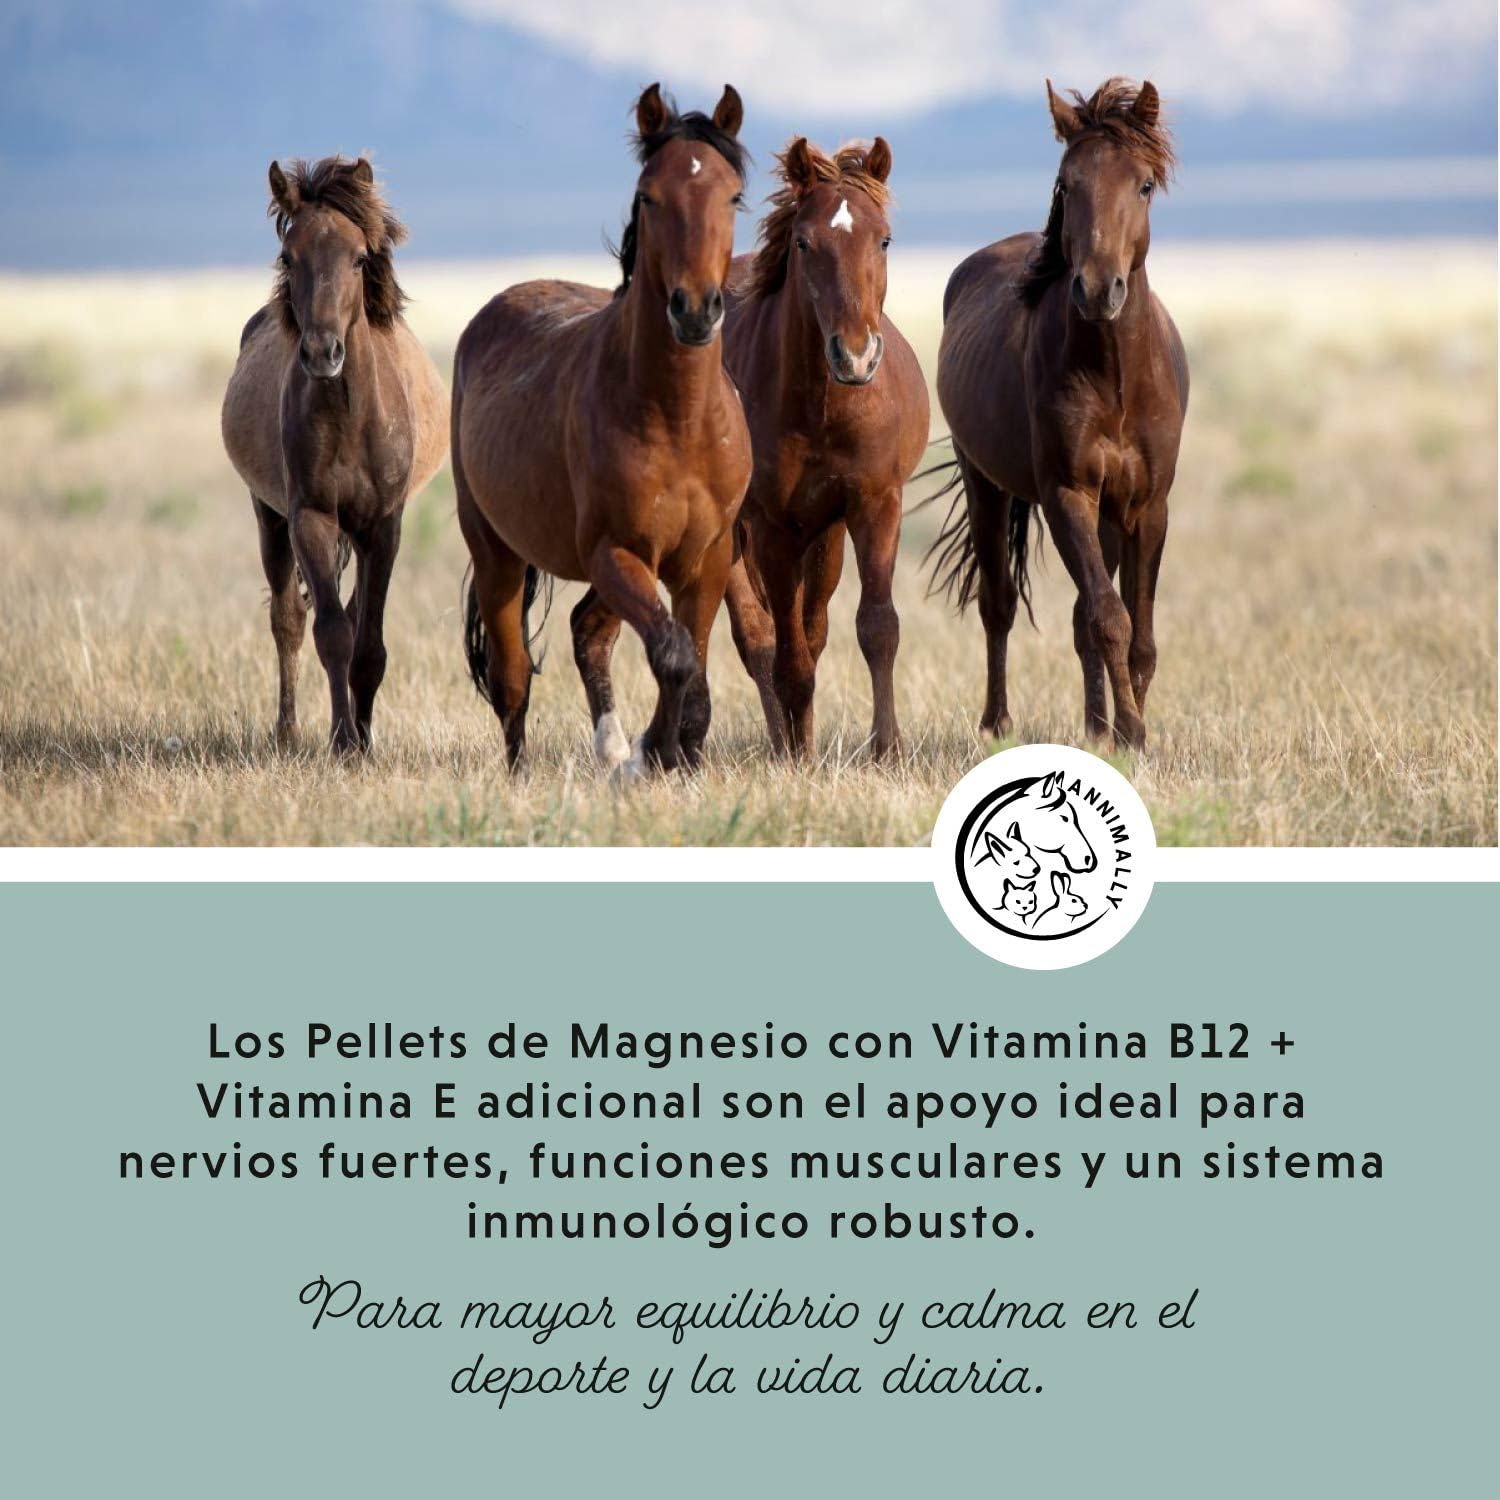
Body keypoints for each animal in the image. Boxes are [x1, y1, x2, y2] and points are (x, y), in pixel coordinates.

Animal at [221, 156, 447, 754]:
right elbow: (331, 634)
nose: (323, 353)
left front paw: (362, 739)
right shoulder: (312, 518)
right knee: (289, 619)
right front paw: (344, 742)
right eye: (287, 256)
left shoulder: (382, 527)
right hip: (268, 517)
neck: (349, 415)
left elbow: (368, 642)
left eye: (360, 257)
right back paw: (288, 731)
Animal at [453, 83, 753, 772]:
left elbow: (692, 660)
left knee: (589, 632)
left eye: (732, 195)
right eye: (649, 195)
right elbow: (673, 653)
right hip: (496, 554)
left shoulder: (707, 557)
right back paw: (530, 771)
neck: (677, 420)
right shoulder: (617, 551)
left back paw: (613, 751)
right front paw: (656, 752)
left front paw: (672, 752)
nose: (695, 311)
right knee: (513, 677)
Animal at [721, 137, 929, 760]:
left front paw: (887, 748)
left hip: (825, 535)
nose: (856, 356)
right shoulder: (771, 528)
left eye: (883, 238)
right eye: (803, 242)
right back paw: (784, 745)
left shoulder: (874, 506)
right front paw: (796, 759)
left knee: (811, 631)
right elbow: (785, 655)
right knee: (761, 638)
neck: (822, 408)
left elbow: (877, 628)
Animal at [929, 78, 1188, 750]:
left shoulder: (1146, 506)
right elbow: (1110, 618)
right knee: (998, 604)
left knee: (1076, 617)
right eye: (1066, 184)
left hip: (1107, 514)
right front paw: (1132, 733)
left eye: (1143, 184)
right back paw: (998, 723)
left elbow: (1138, 634)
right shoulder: (1067, 494)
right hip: (985, 484)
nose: (1098, 290)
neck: (1115, 377)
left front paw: (1127, 728)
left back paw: (1094, 727)